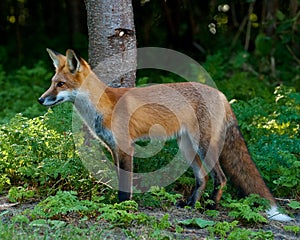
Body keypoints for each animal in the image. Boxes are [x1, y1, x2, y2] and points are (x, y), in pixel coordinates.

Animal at [38, 48, 292, 221]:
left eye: (61, 84)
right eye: (52, 83)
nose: (40, 99)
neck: (102, 106)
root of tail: (221, 94)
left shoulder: (126, 147)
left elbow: (125, 186)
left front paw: (124, 208)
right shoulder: (113, 148)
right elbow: (119, 180)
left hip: (204, 146)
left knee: (221, 178)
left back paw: (211, 207)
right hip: (187, 148)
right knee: (203, 178)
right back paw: (190, 205)